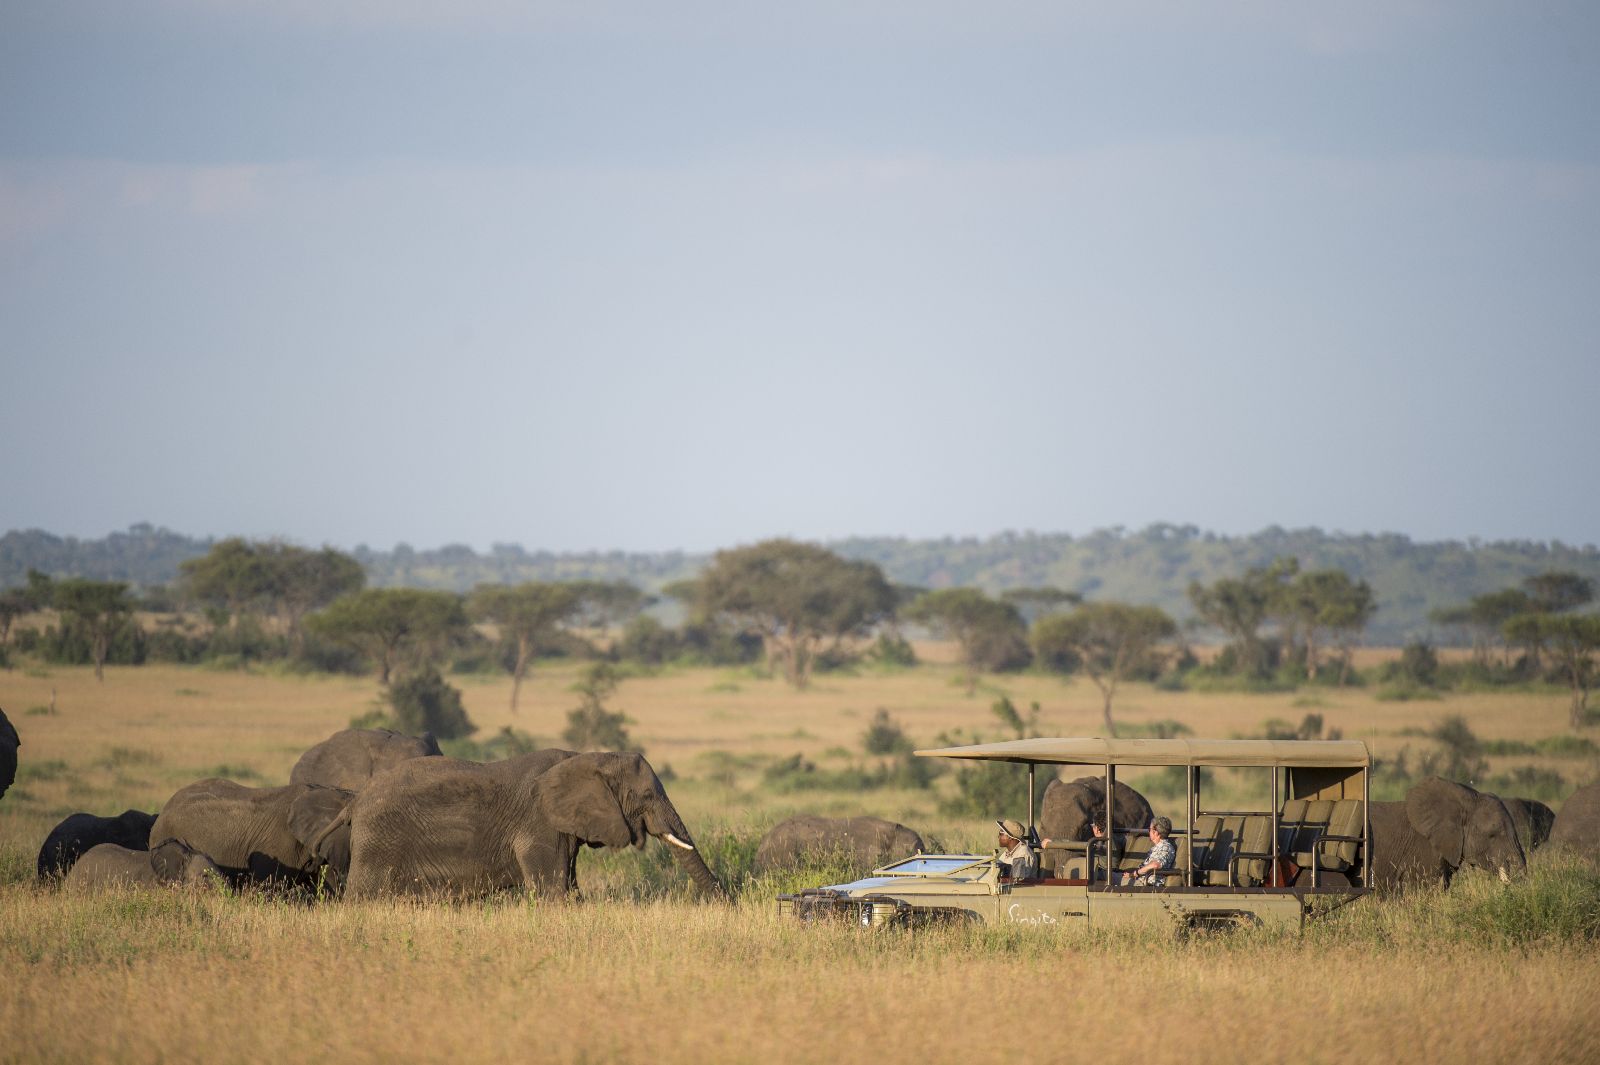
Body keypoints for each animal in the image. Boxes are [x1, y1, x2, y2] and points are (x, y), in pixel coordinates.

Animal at [339, 749, 727, 901]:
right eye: (646, 795)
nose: (727, 902)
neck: (586, 757)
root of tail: (355, 802)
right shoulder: (538, 826)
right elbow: (552, 893)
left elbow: (568, 890)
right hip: (377, 844)